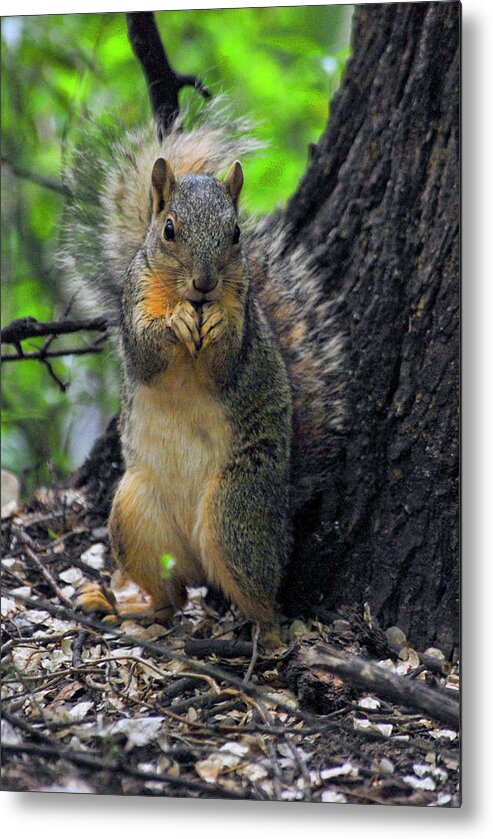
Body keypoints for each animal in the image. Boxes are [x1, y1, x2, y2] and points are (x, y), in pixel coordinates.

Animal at [61, 106, 344, 644]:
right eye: (169, 229)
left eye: (235, 234)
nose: (206, 283)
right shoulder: (132, 306)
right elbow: (146, 353)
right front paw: (173, 322)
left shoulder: (244, 325)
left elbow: (225, 361)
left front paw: (216, 325)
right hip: (135, 515)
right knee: (169, 599)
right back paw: (129, 609)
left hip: (234, 510)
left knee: (260, 596)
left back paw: (269, 637)